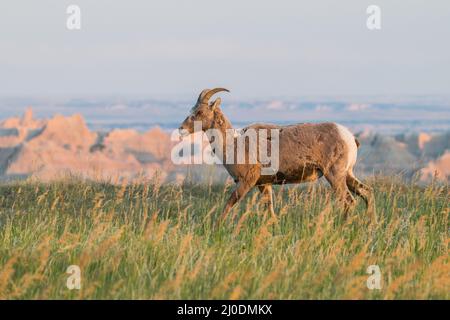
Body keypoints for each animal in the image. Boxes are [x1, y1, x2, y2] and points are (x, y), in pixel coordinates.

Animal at [179, 88, 376, 222]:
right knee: (367, 192)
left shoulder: (247, 182)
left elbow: (228, 205)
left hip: (335, 176)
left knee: (349, 201)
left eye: (199, 112)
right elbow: (270, 212)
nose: (181, 129)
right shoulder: (264, 186)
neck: (235, 144)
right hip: (347, 175)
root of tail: (348, 137)